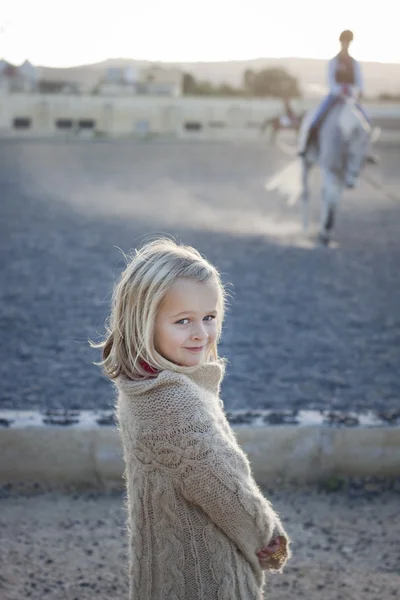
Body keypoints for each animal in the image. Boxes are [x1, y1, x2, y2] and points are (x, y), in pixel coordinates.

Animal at [300, 94, 372, 244]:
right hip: (306, 163)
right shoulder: (331, 171)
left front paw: (326, 231)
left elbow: (335, 201)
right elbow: (332, 200)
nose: (351, 184)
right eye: (351, 154)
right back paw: (305, 229)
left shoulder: (341, 174)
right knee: (306, 192)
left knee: (324, 194)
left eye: (364, 159)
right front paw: (325, 234)